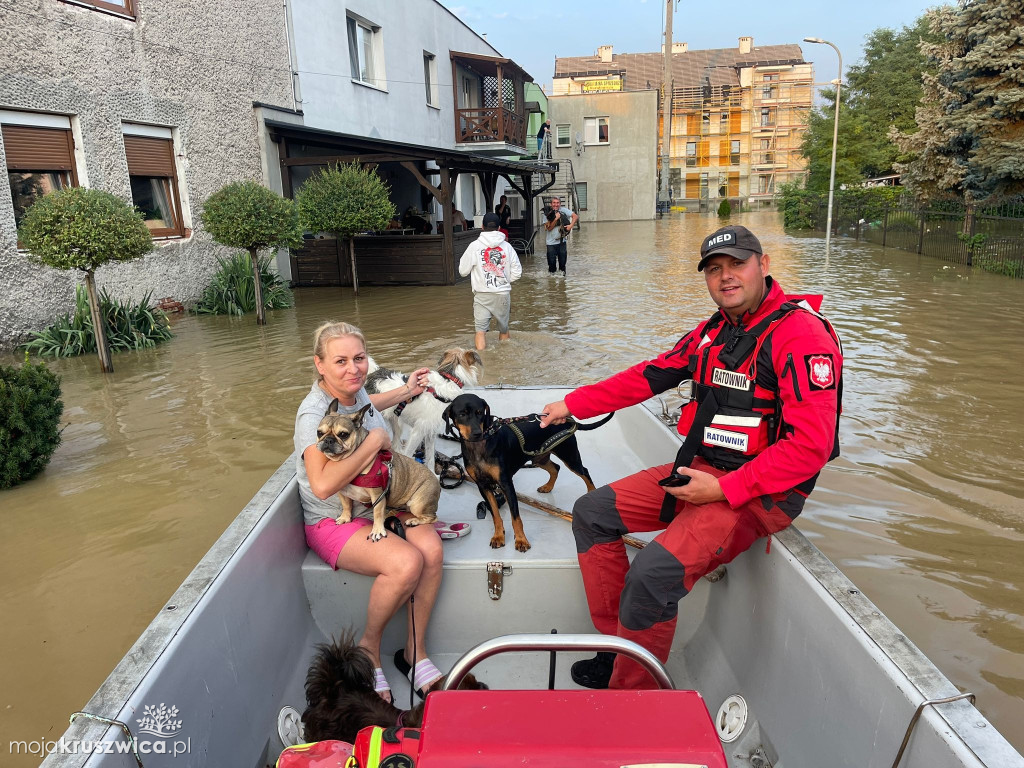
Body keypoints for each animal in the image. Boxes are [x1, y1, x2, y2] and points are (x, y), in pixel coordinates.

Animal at [313, 399, 438, 544]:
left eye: (343, 434)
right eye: (319, 432)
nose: (328, 440)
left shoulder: (378, 495)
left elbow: (377, 513)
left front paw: (377, 531)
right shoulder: (342, 492)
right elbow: (346, 505)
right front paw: (345, 517)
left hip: (418, 504)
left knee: (433, 518)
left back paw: (414, 521)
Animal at [444, 397, 610, 552]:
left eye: (479, 412)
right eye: (462, 414)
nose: (477, 433)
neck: (479, 446)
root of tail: (566, 422)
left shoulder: (506, 484)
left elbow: (516, 517)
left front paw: (521, 541)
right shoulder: (483, 486)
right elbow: (495, 515)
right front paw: (498, 536)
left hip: (569, 455)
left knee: (584, 471)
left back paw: (591, 493)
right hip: (539, 457)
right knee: (555, 468)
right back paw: (547, 487)